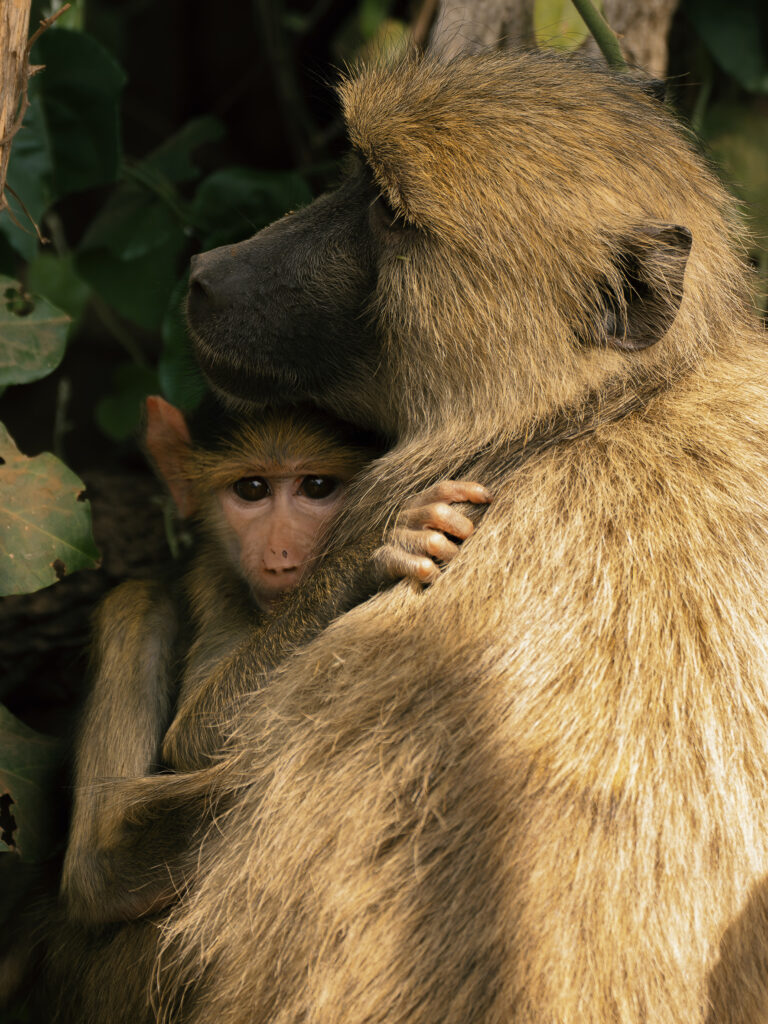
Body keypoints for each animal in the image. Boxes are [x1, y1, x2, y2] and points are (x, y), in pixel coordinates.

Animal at [58, 394, 491, 928]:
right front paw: (369, 552)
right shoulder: (217, 582)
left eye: (317, 487)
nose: (280, 555)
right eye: (252, 490)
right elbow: (200, 735)